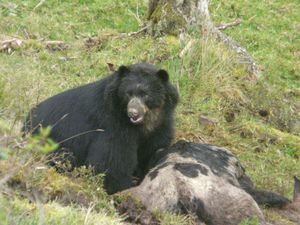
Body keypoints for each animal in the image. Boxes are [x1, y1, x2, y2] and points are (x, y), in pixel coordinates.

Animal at [24, 62, 178, 193]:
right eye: (128, 93)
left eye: (145, 94)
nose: (133, 112)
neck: (144, 123)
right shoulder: (113, 125)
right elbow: (112, 161)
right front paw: (121, 186)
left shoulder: (160, 126)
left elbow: (153, 150)